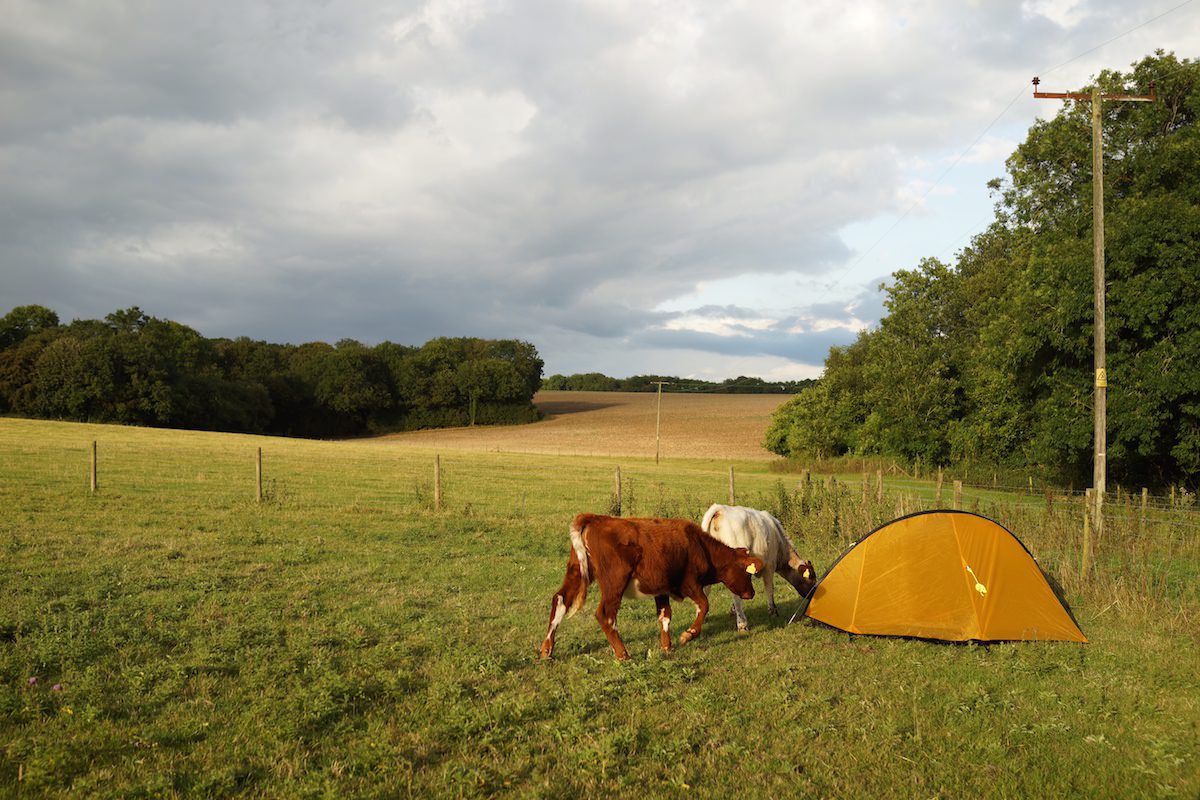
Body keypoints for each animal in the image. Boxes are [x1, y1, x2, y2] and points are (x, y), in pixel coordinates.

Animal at [540, 515, 763, 662]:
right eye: (747, 573)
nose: (751, 593)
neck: (699, 546)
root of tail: (595, 519)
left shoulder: (661, 588)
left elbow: (665, 615)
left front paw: (667, 647)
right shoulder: (690, 583)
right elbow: (704, 606)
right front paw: (688, 635)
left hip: (576, 572)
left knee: (560, 600)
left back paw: (546, 650)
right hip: (614, 582)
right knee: (605, 614)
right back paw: (623, 654)